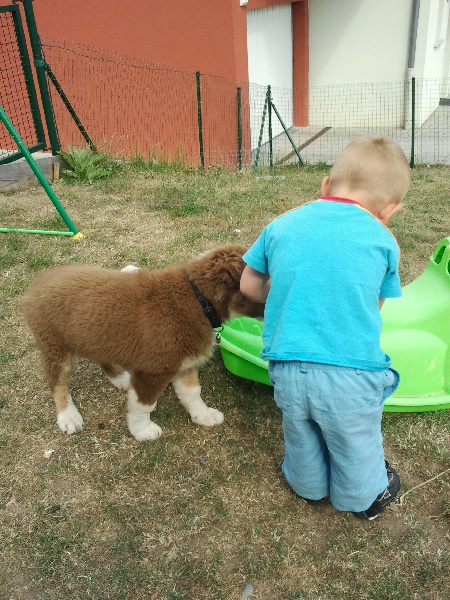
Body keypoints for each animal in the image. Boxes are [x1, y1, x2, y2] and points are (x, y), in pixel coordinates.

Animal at [22, 244, 264, 440]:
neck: (200, 299)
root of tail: (38, 281)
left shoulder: (186, 363)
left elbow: (193, 393)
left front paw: (203, 415)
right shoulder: (152, 371)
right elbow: (144, 406)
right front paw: (142, 431)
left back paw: (119, 378)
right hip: (54, 345)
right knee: (58, 383)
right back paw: (68, 416)